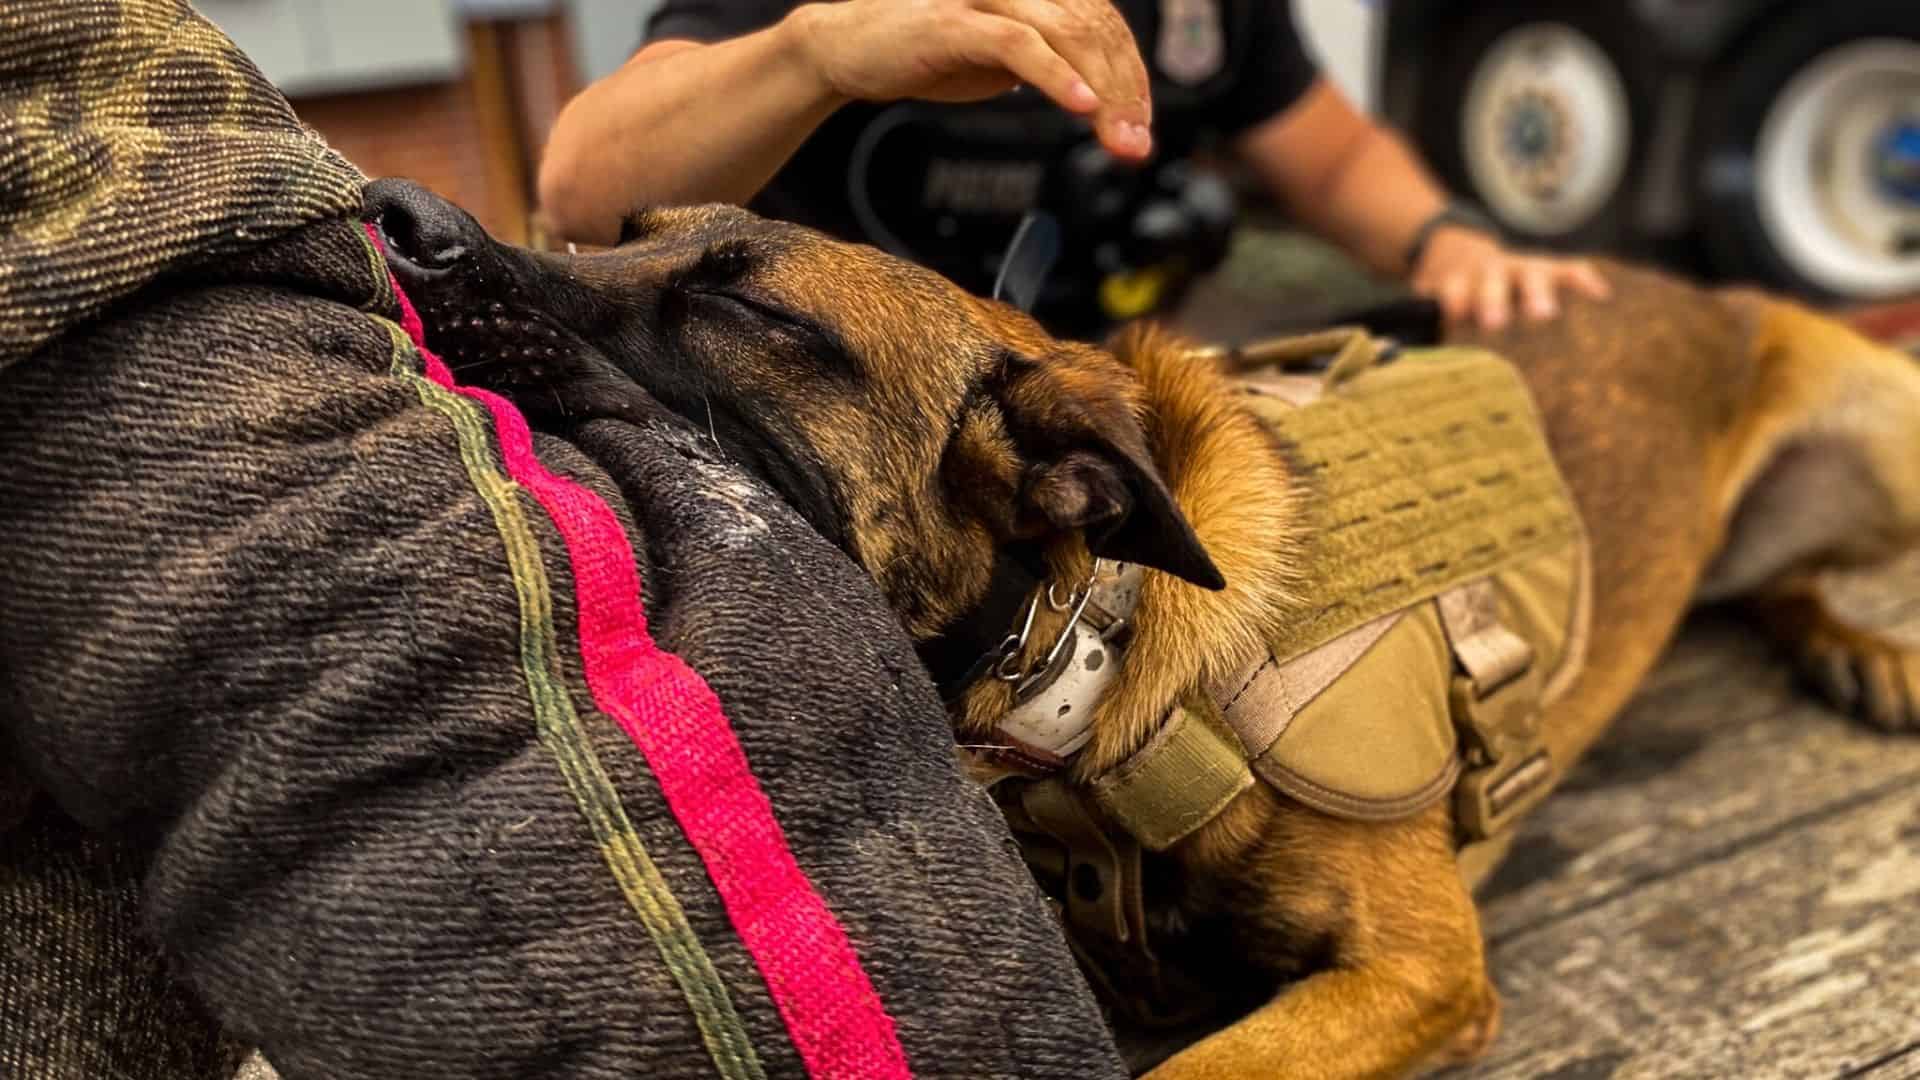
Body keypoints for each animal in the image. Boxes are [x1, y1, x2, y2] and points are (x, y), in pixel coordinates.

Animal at [360, 180, 1920, 1068]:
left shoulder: (1416, 970)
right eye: (620, 235)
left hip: (1887, 447)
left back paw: (1870, 645)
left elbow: (1200, 1066)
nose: (396, 211)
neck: (1087, 645)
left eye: (757, 314)